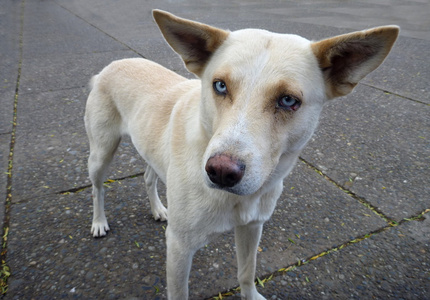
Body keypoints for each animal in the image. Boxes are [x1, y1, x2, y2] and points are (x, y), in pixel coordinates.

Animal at [85, 10, 400, 298]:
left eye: (288, 100)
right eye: (220, 85)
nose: (221, 172)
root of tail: (114, 64)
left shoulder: (252, 227)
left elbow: (247, 272)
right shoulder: (178, 246)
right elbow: (179, 290)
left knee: (149, 176)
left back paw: (158, 209)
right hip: (100, 153)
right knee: (97, 188)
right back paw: (99, 223)